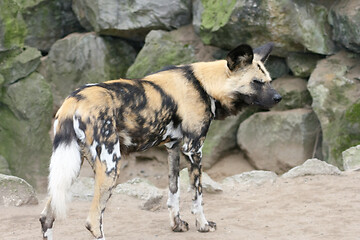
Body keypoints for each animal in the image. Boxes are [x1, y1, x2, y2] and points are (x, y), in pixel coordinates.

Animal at [39, 42, 282, 239]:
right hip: (110, 166)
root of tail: (73, 99)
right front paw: (203, 225)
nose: (278, 97)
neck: (204, 85)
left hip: (73, 165)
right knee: (93, 222)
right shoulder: (194, 149)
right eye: (256, 82)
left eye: (269, 81)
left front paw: (177, 225)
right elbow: (197, 197)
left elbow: (174, 192)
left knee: (47, 216)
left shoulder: (174, 148)